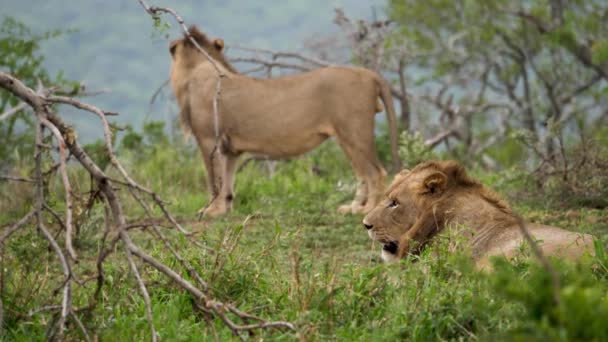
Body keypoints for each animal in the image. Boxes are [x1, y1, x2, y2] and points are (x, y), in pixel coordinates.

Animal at [169, 26, 402, 216]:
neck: (196, 70)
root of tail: (369, 73)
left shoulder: (209, 139)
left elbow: (214, 179)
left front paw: (210, 211)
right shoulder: (230, 149)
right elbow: (227, 181)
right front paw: (224, 210)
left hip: (355, 133)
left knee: (376, 172)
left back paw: (369, 210)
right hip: (346, 137)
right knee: (362, 174)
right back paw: (353, 208)